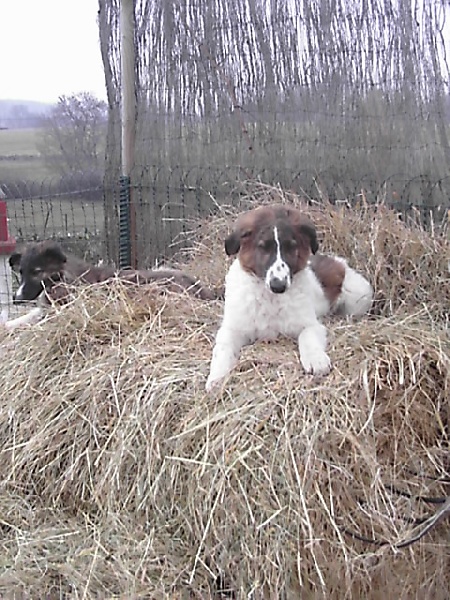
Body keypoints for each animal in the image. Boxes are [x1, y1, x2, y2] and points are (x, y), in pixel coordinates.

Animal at [205, 204, 373, 391]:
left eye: (291, 247)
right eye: (263, 247)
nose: (278, 286)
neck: (271, 299)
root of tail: (338, 261)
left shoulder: (310, 325)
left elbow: (307, 337)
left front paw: (316, 359)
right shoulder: (231, 329)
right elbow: (222, 349)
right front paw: (217, 376)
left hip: (358, 298)